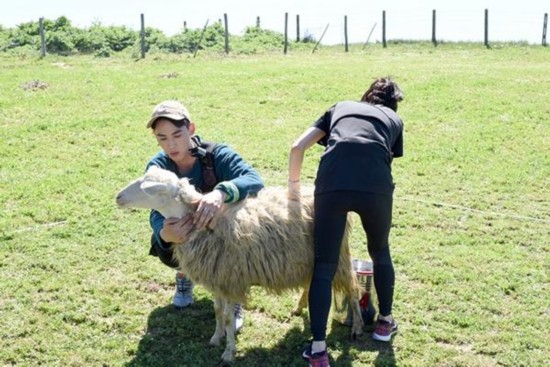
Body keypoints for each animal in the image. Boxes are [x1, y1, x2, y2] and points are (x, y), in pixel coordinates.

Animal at [116, 167, 366, 366]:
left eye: (149, 189)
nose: (118, 197)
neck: (205, 224)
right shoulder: (218, 279)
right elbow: (217, 311)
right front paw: (216, 338)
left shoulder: (230, 280)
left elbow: (228, 318)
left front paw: (228, 352)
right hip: (308, 257)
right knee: (311, 282)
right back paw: (300, 306)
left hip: (338, 254)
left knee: (353, 288)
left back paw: (357, 327)